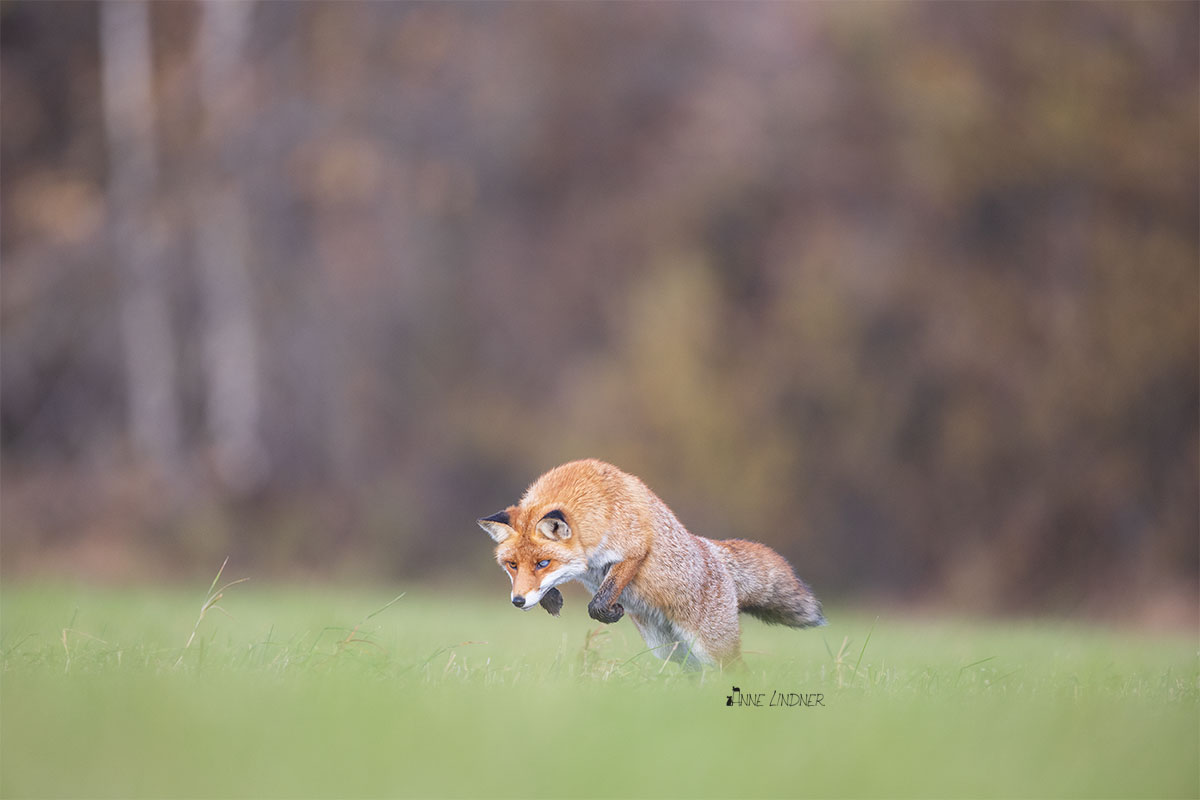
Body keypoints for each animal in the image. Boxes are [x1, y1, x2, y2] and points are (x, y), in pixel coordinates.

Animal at [477, 459, 824, 669]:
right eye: (512, 565)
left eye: (543, 562)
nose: (518, 601)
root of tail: (714, 552)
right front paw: (551, 599)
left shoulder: (633, 551)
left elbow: (599, 601)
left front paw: (608, 611)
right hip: (673, 652)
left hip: (713, 649)